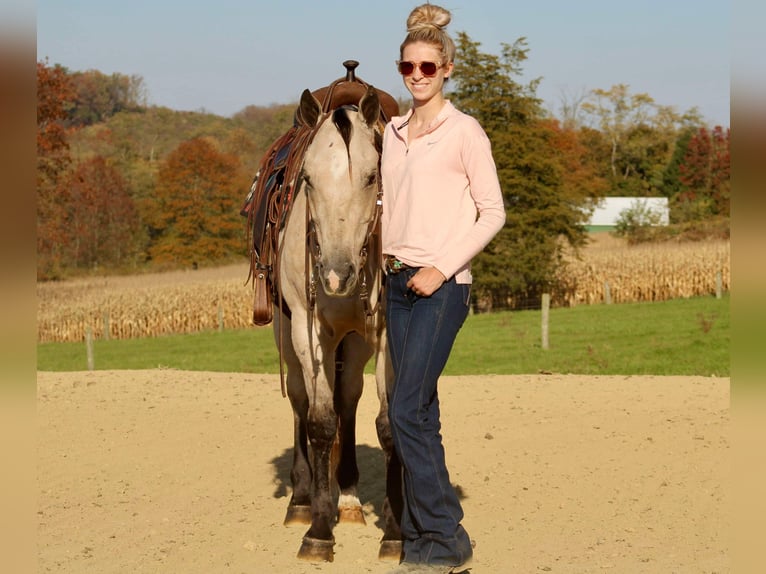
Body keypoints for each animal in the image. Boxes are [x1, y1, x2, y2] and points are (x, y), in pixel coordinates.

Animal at [244, 62, 402, 564]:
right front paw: (317, 531)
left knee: (348, 400)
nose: (336, 274)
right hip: (287, 332)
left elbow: (388, 425)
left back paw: (347, 499)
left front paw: (395, 533)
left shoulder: (386, 336)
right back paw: (302, 500)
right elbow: (318, 421)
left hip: (351, 343)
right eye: (308, 180)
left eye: (372, 177)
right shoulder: (309, 330)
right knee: (301, 400)